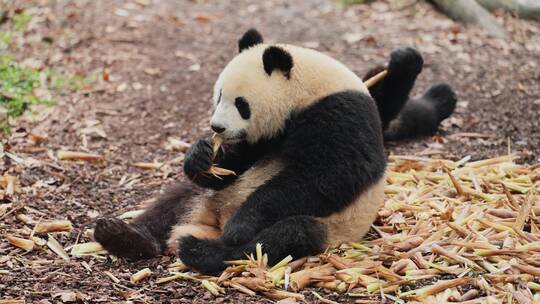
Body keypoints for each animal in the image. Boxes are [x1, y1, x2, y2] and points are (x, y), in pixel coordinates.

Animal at [95, 29, 458, 274]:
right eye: (218, 95)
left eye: (241, 104)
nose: (217, 128)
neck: (307, 87)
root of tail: (210, 222)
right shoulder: (268, 135)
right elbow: (240, 161)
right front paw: (201, 157)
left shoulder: (339, 114)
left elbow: (332, 174)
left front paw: (242, 223)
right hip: (203, 199)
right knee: (172, 202)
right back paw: (122, 235)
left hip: (329, 225)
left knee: (282, 237)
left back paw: (202, 249)